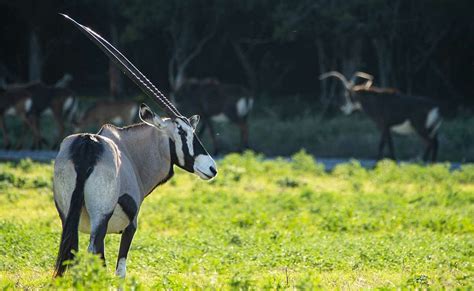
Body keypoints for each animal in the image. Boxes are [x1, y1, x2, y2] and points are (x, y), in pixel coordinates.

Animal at [53, 14, 217, 280]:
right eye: (183, 132)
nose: (212, 168)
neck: (129, 151)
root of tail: (88, 145)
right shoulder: (131, 225)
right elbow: (120, 270)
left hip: (67, 214)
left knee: (71, 256)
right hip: (100, 217)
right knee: (94, 253)